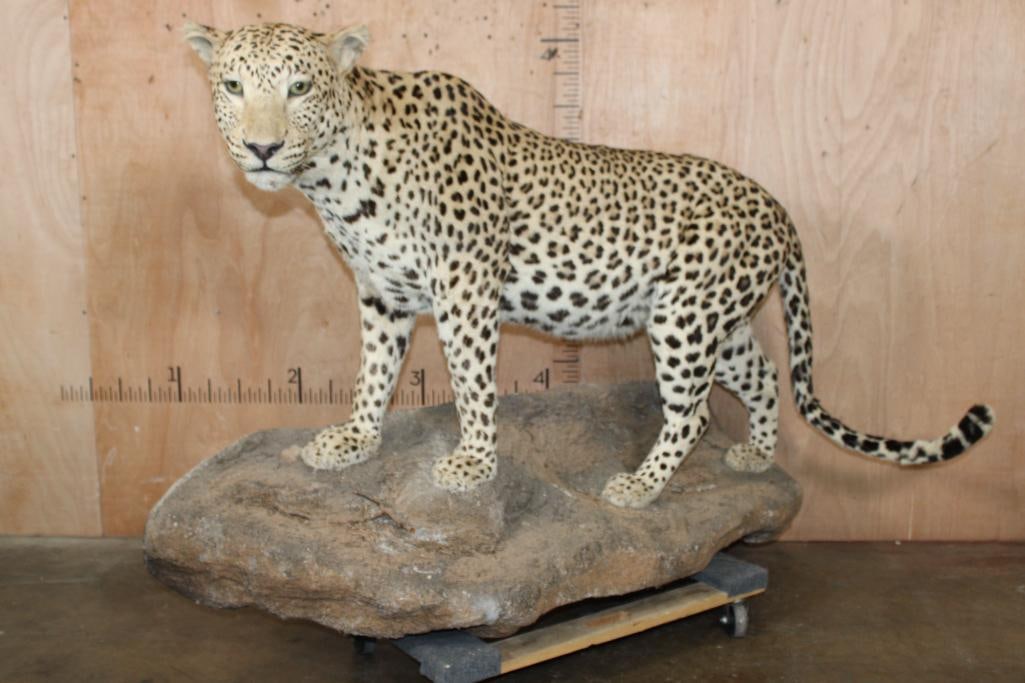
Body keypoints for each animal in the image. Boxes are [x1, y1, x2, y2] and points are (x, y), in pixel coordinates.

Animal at [184, 21, 994, 508]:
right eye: (233, 86)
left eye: (299, 87)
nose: (260, 148)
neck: (334, 177)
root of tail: (775, 205)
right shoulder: (382, 295)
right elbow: (373, 373)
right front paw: (354, 441)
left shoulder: (465, 291)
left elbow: (472, 384)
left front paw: (474, 464)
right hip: (717, 320)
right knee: (764, 377)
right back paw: (756, 459)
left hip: (683, 321)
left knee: (693, 410)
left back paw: (640, 486)